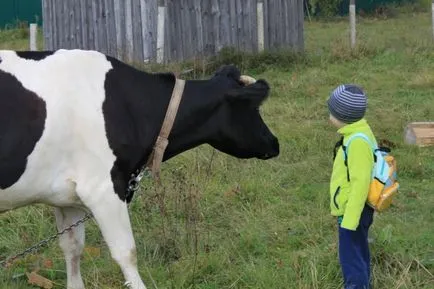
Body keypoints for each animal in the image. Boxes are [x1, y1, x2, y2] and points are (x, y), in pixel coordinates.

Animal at [0, 49, 278, 288]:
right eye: (254, 109)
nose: (275, 143)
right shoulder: (103, 188)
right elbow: (126, 253)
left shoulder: (65, 195)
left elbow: (73, 249)